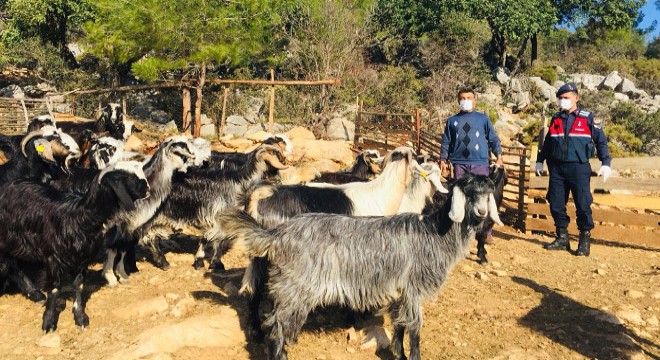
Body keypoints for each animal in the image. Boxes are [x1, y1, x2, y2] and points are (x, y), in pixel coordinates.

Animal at [0, 162, 148, 334]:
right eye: (129, 178)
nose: (147, 188)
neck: (79, 218)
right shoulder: (52, 257)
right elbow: (55, 289)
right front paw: (48, 322)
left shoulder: (82, 259)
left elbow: (79, 286)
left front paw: (80, 318)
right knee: (11, 266)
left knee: (14, 267)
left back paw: (36, 295)